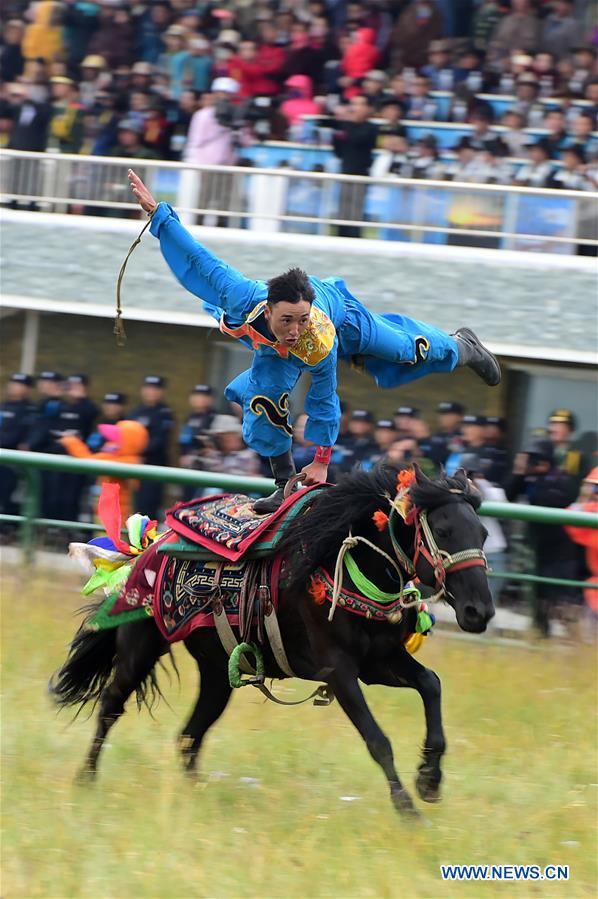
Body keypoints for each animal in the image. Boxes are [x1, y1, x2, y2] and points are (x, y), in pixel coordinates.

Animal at [51, 468, 494, 820]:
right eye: (443, 531)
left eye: (483, 533)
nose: (480, 612)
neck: (344, 558)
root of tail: (145, 550)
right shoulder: (340, 671)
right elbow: (378, 740)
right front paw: (407, 808)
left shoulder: (379, 662)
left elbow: (431, 684)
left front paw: (430, 780)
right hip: (141, 646)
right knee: (111, 706)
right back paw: (86, 778)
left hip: (217, 671)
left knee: (190, 735)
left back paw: (198, 795)